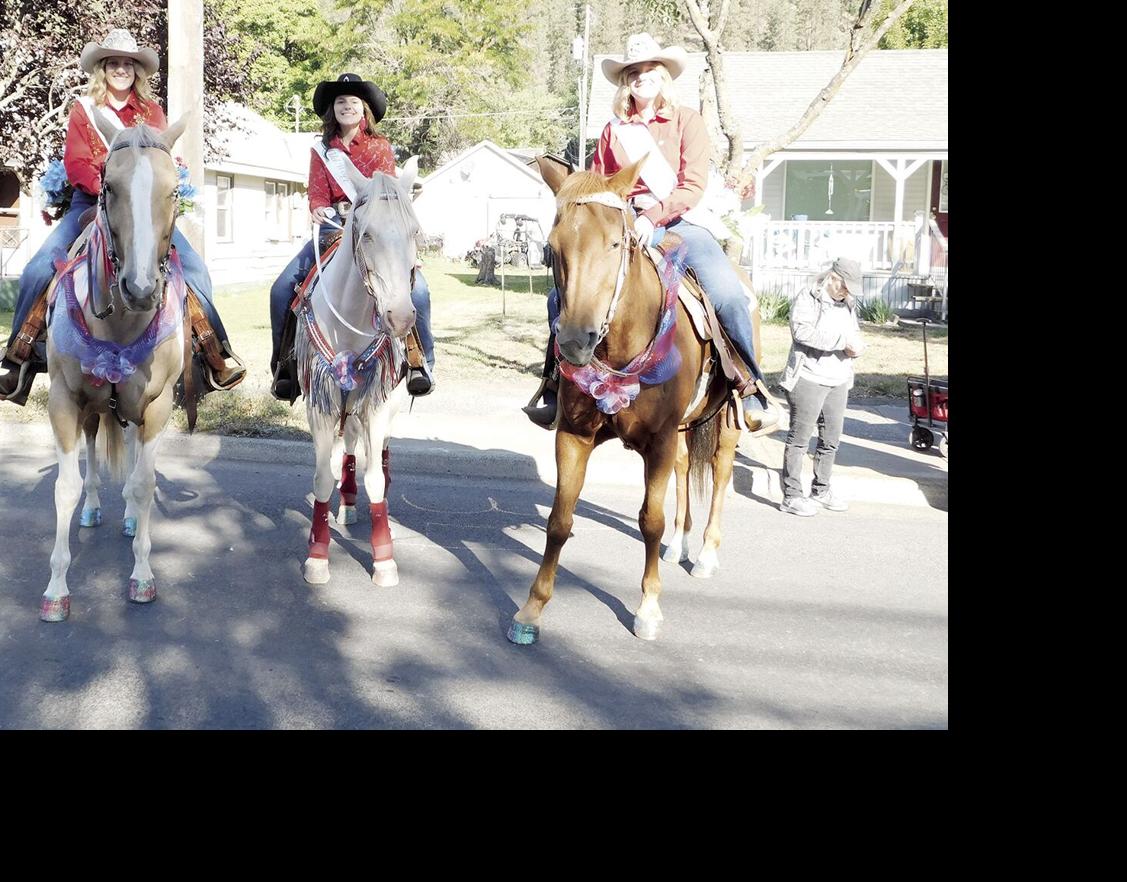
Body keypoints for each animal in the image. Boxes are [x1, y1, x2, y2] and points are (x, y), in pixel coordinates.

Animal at [39, 117, 191, 626]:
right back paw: (93, 509)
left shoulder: (158, 406)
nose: (141, 289)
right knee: (90, 453)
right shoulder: (64, 401)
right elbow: (64, 488)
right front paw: (56, 588)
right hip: (90, 407)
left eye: (174, 191)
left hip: (130, 408)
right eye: (109, 186)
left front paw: (142, 576)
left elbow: (144, 485)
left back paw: (126, 517)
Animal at [295, 156, 423, 590]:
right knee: (350, 445)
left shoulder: (377, 403)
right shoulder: (322, 403)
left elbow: (377, 481)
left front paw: (384, 559)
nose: (400, 318)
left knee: (377, 453)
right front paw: (317, 557)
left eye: (414, 232)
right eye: (366, 235)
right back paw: (347, 503)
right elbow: (321, 477)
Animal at [511, 156, 766, 639]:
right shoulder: (573, 436)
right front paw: (532, 607)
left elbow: (650, 520)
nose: (574, 341)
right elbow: (559, 520)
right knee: (685, 470)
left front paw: (648, 608)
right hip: (683, 429)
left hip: (725, 422)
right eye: (553, 247)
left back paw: (706, 553)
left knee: (721, 473)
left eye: (616, 243)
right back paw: (680, 545)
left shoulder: (659, 441)